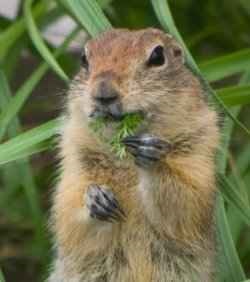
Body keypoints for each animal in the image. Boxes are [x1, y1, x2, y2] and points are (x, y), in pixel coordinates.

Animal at [47, 27, 220, 282]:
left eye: (158, 56)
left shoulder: (199, 152)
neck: (125, 158)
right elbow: (68, 215)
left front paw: (152, 155)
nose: (103, 92)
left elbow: (186, 201)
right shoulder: (74, 161)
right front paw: (95, 198)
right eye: (84, 59)